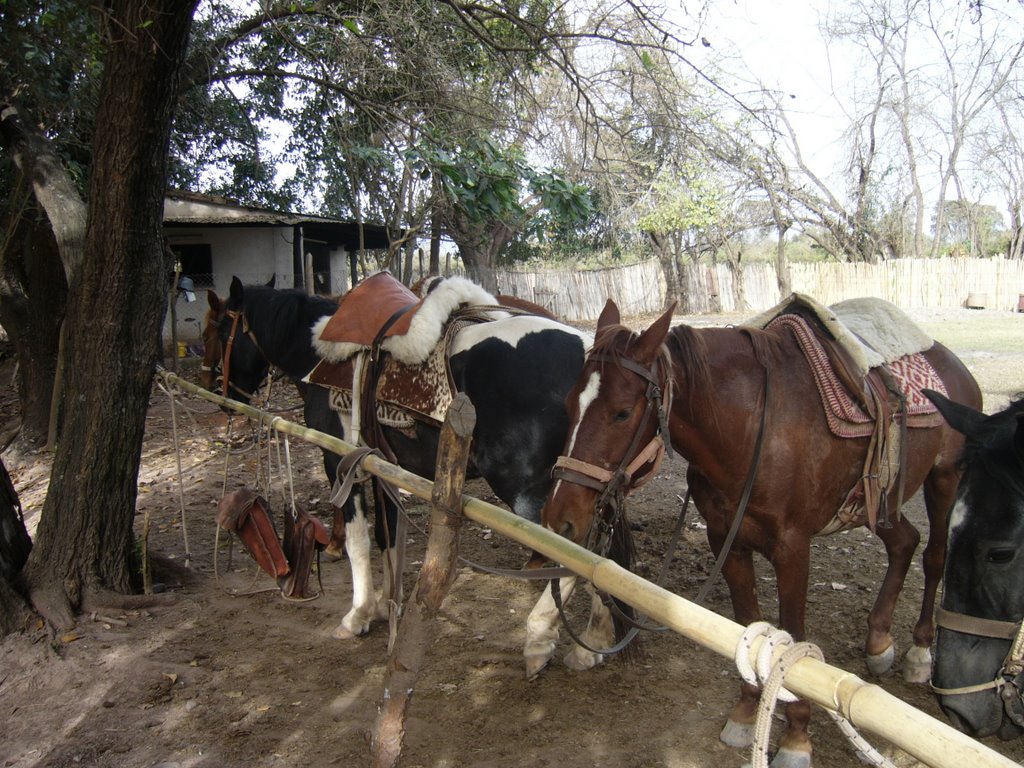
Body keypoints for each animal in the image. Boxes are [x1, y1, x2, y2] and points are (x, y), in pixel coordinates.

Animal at [205, 276, 614, 671]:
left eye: (216, 332)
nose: (218, 393)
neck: (314, 354)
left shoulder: (340, 463)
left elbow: (357, 540)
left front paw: (358, 614)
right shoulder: (384, 467)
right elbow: (387, 535)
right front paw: (389, 604)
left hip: (532, 494)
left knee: (576, 552)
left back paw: (540, 639)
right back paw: (594, 641)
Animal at [544, 296, 983, 765]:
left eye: (622, 412)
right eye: (568, 404)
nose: (560, 516)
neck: (751, 427)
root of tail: (955, 366)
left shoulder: (792, 549)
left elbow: (794, 644)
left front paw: (796, 738)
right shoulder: (727, 542)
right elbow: (746, 625)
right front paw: (745, 712)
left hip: (944, 480)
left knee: (934, 556)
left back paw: (920, 652)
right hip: (877, 501)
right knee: (905, 543)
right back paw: (879, 642)